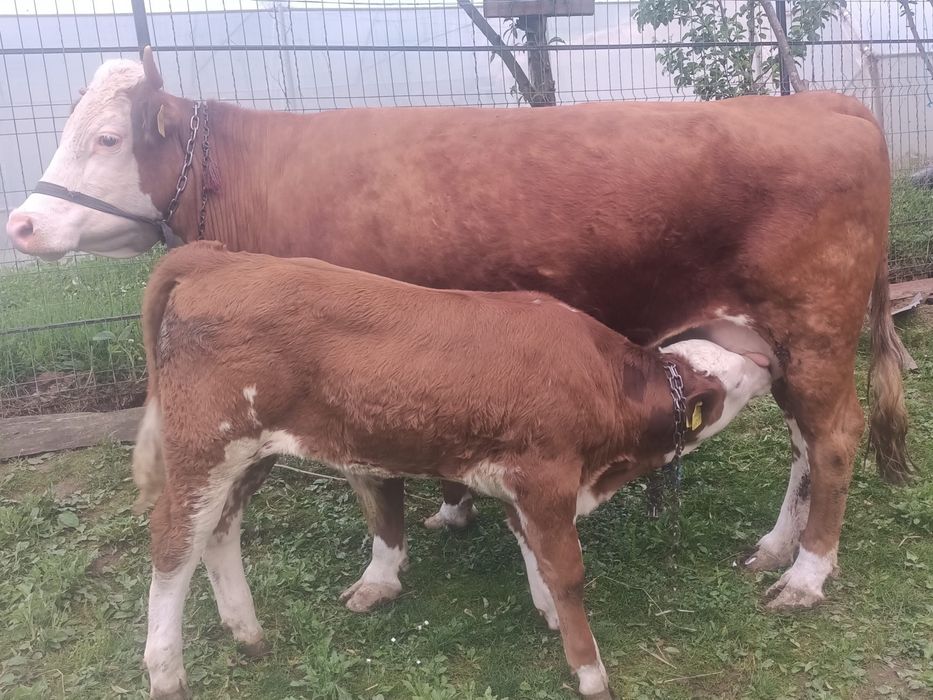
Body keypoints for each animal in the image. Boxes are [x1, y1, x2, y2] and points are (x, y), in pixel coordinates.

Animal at [4, 50, 911, 616]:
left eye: (107, 136)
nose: (22, 223)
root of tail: (822, 102)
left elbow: (374, 489)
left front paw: (381, 573)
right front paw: (452, 507)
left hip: (813, 327)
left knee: (833, 438)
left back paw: (806, 574)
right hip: (775, 338)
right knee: (802, 441)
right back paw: (775, 544)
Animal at [134, 241, 774, 699]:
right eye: (730, 379)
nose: (770, 361)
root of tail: (218, 257)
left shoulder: (520, 486)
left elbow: (534, 555)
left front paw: (546, 612)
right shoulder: (547, 479)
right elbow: (568, 573)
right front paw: (590, 672)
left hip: (249, 452)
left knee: (219, 532)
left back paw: (247, 634)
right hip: (204, 446)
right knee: (173, 542)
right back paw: (166, 672)